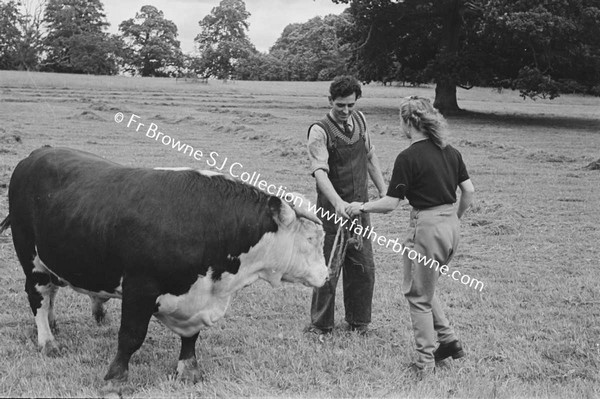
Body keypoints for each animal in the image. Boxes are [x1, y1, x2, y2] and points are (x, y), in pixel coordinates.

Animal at [0, 147, 328, 396]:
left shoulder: (196, 297)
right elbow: (131, 336)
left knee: (51, 292)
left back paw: (53, 325)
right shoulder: (139, 288)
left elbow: (191, 337)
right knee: (38, 295)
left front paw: (188, 370)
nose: (326, 276)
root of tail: (37, 154)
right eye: (313, 239)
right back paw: (47, 340)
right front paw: (115, 380)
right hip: (30, 256)